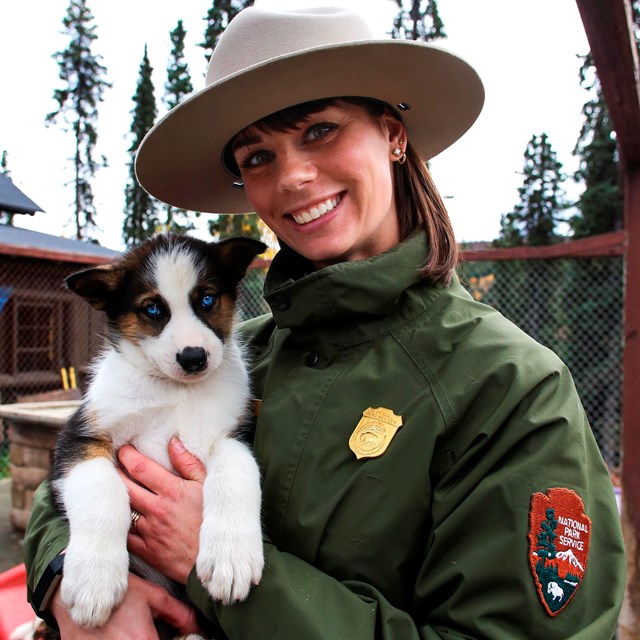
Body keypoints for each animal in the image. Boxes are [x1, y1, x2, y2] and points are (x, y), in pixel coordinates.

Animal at [48, 232, 266, 632]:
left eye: (207, 299)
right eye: (152, 309)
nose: (193, 358)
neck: (175, 390)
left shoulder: (233, 435)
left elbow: (237, 472)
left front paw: (231, 558)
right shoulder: (81, 436)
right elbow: (102, 490)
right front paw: (93, 581)